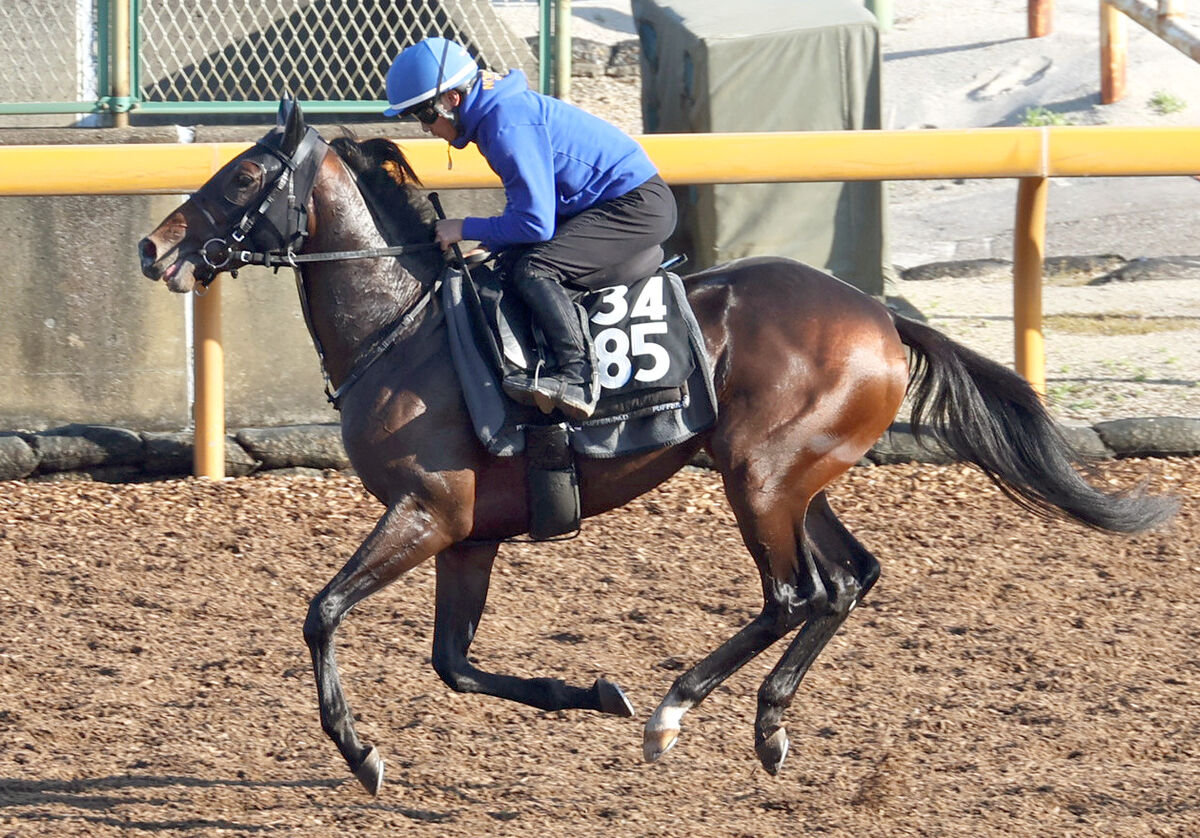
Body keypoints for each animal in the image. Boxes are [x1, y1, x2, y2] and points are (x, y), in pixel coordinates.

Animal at [138, 101, 1171, 792]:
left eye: (241, 176)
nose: (154, 249)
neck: (408, 327)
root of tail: (881, 314)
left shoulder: (428, 511)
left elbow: (322, 614)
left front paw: (362, 754)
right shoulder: (468, 533)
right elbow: (454, 663)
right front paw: (594, 694)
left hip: (760, 477)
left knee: (795, 593)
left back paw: (675, 713)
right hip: (796, 479)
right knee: (849, 579)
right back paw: (767, 727)